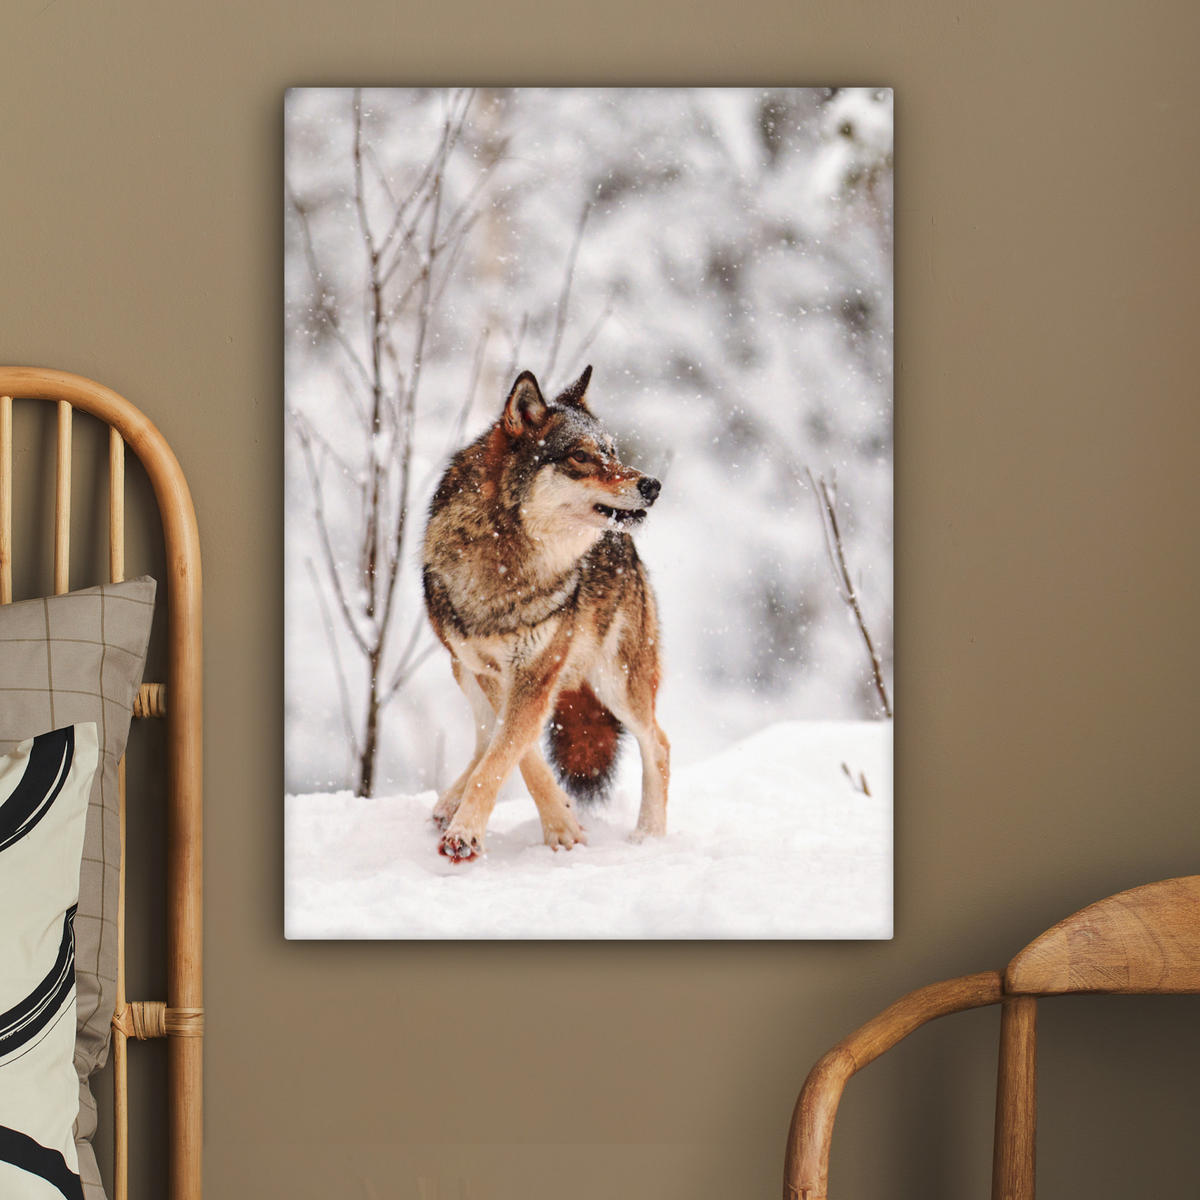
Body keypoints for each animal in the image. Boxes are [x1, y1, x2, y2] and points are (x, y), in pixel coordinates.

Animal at [422, 365, 669, 862]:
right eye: (580, 456)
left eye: (612, 451)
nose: (652, 485)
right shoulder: (493, 672)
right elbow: (515, 753)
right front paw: (560, 823)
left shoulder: (536, 672)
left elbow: (505, 755)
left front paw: (469, 833)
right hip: (463, 670)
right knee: (484, 736)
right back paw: (448, 803)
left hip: (617, 682)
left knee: (659, 744)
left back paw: (648, 837)